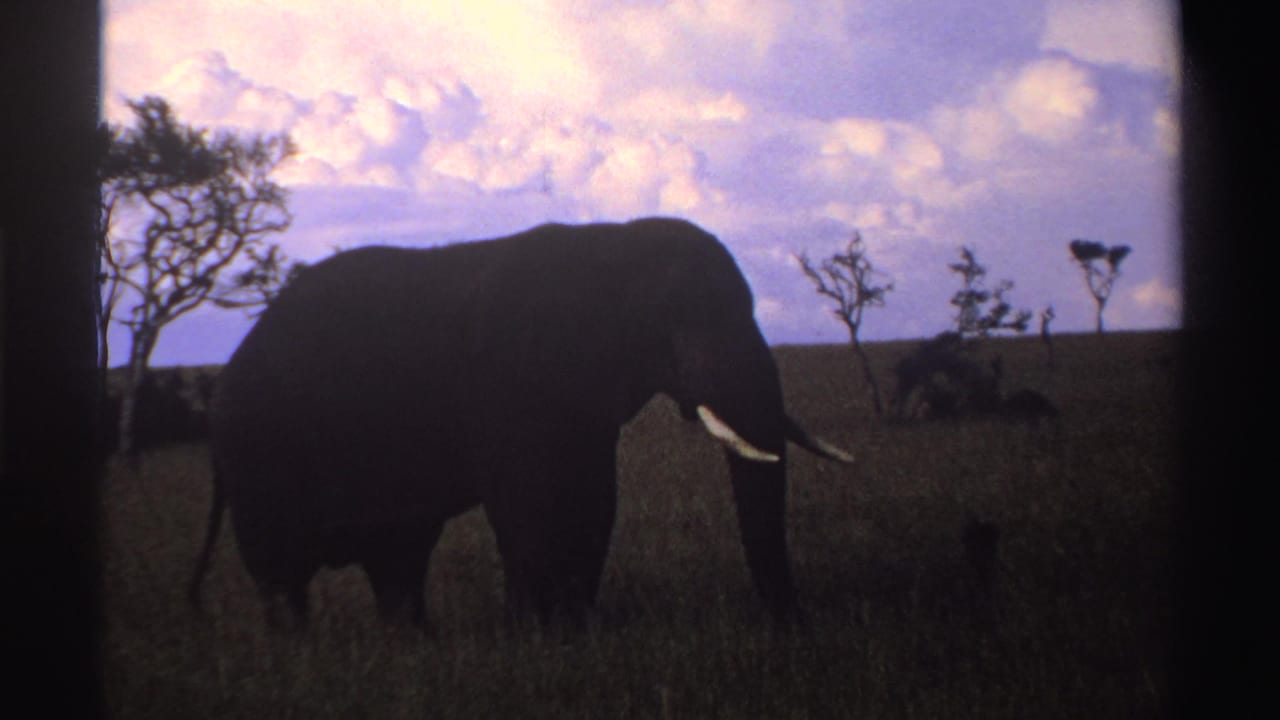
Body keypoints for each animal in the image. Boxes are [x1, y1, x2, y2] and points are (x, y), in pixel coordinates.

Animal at [188, 217, 853, 628]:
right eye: (677, 316)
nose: (796, 627)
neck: (614, 246)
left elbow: (594, 501)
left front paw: (578, 630)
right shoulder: (510, 386)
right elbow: (528, 504)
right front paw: (536, 636)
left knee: (398, 556)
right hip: (261, 455)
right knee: (284, 572)